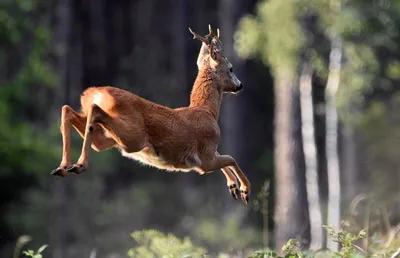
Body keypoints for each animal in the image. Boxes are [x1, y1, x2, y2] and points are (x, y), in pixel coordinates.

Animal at [50, 25, 250, 205]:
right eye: (231, 68)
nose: (240, 85)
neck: (207, 110)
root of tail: (95, 92)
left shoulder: (207, 157)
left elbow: (227, 158)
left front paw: (233, 186)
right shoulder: (205, 158)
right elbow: (231, 158)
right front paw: (244, 190)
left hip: (108, 139)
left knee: (68, 110)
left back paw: (63, 167)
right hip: (133, 137)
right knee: (94, 110)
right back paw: (79, 165)